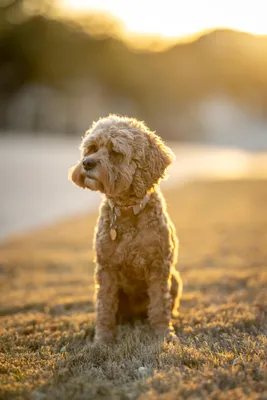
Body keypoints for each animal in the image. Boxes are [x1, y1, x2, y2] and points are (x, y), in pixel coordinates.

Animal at [69, 114, 183, 342]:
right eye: (92, 148)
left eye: (116, 152)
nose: (87, 163)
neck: (127, 211)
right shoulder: (106, 270)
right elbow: (104, 307)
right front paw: (102, 339)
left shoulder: (159, 267)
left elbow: (160, 305)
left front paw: (164, 334)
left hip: (174, 278)